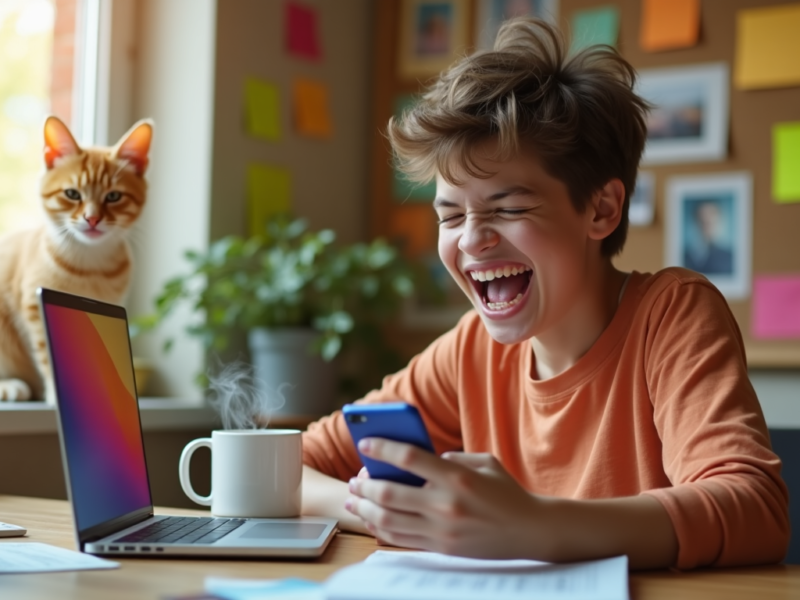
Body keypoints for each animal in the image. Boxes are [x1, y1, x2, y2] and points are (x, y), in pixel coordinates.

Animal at [0, 116, 153, 404]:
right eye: (72, 194)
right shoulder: (35, 305)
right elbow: (47, 356)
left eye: (113, 196)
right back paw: (10, 386)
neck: (90, 267)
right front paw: (55, 394)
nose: (92, 219)